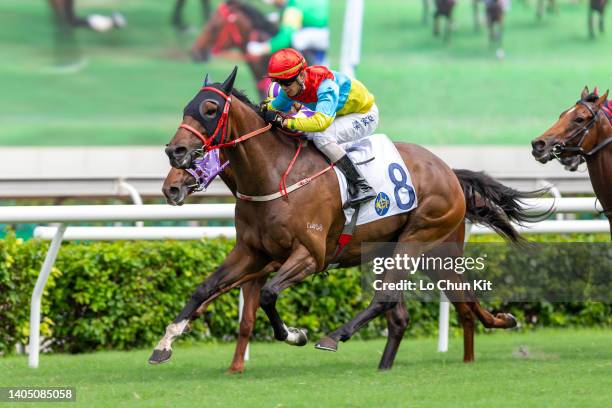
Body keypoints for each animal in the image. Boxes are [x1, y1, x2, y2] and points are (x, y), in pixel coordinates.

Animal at [152, 68, 540, 372]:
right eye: (186, 108)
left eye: (210, 109)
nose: (175, 152)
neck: (273, 176)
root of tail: (448, 170)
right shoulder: (251, 252)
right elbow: (205, 289)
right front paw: (164, 344)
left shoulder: (310, 255)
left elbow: (268, 294)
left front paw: (295, 335)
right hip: (421, 252)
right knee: (439, 304)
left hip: (418, 240)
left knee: (390, 300)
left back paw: (334, 336)